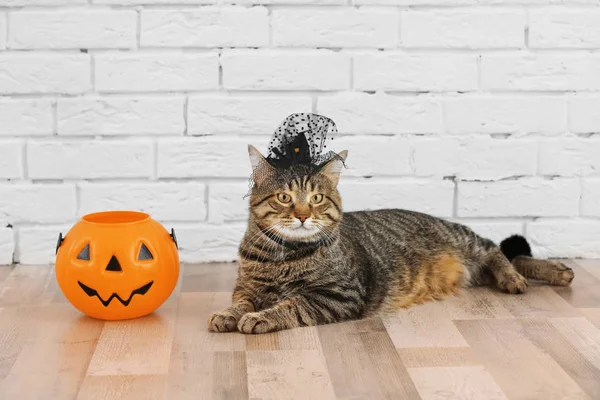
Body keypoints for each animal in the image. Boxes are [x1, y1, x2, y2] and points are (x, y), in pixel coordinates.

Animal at [207, 145, 576, 332]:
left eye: (316, 198)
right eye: (284, 198)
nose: (301, 215)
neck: (282, 255)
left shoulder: (339, 295)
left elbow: (292, 305)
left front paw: (260, 318)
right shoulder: (246, 287)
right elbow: (240, 301)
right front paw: (228, 314)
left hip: (465, 241)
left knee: (498, 250)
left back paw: (537, 274)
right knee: (509, 254)